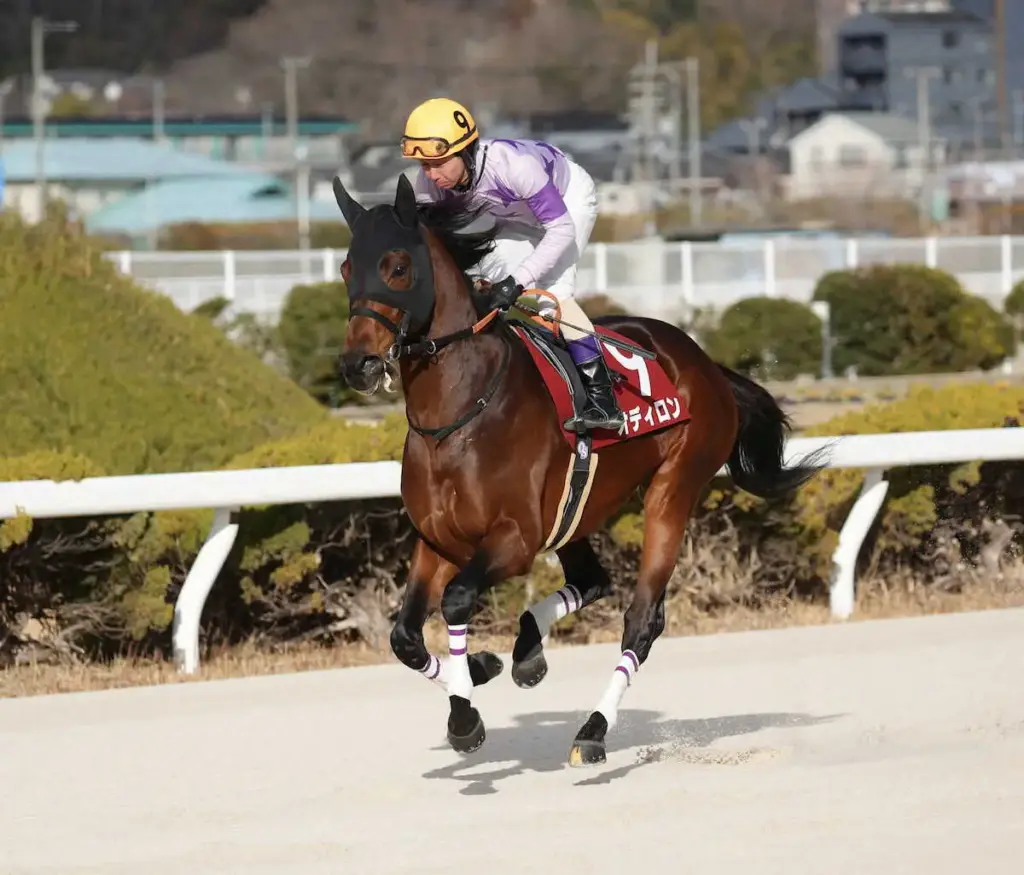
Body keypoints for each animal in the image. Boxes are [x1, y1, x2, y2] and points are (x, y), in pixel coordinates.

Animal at [333, 173, 827, 767]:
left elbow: (456, 600)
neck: (458, 412)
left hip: (674, 487)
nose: (357, 365)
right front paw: (477, 669)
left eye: (398, 267)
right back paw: (527, 651)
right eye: (346, 268)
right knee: (593, 579)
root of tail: (705, 362)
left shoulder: (515, 539)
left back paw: (592, 730)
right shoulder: (438, 540)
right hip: (578, 504)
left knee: (642, 620)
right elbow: (404, 637)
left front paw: (466, 715)